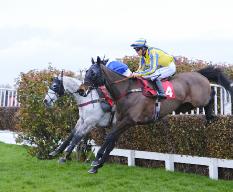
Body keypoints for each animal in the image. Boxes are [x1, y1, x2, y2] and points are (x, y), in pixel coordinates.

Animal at [80, 56, 233, 173]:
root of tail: (198, 73)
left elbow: (109, 137)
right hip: (188, 104)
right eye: (87, 71)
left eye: (93, 73)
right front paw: (98, 165)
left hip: (199, 99)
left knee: (211, 94)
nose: (81, 90)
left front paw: (96, 160)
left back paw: (210, 116)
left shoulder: (129, 121)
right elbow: (111, 141)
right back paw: (209, 116)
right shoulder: (122, 122)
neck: (128, 91)